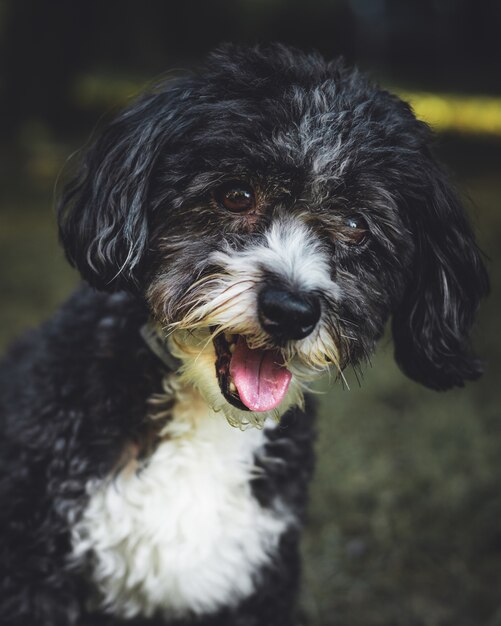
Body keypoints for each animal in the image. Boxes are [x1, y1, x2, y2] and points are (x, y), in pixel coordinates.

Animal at [0, 45, 486, 624]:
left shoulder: (258, 580)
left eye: (355, 225)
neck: (203, 416)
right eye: (235, 195)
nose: (292, 310)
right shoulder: (35, 569)